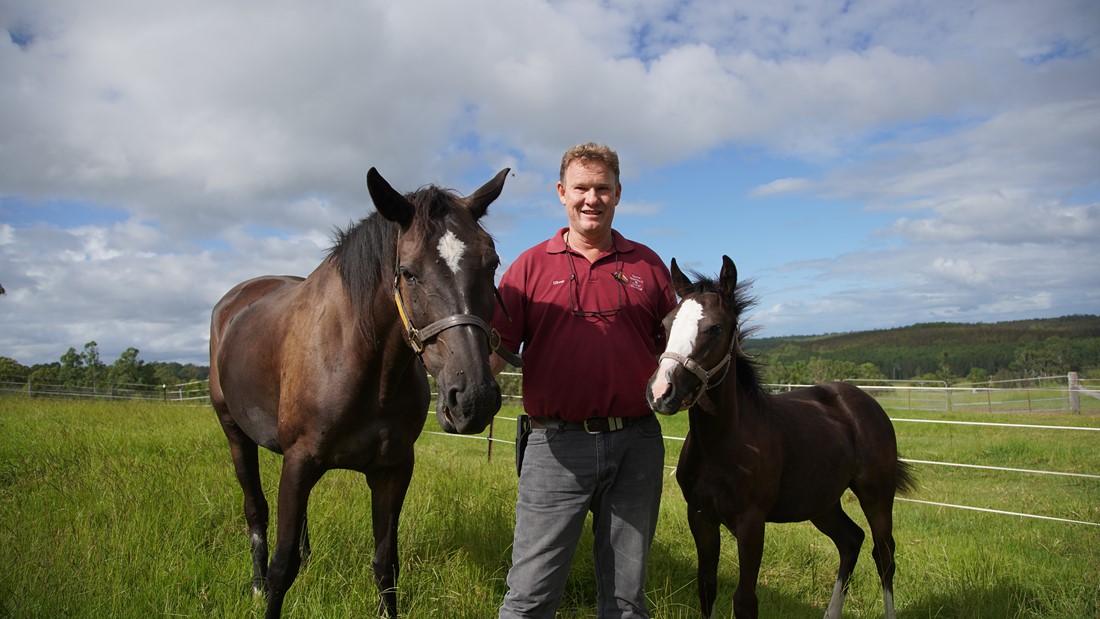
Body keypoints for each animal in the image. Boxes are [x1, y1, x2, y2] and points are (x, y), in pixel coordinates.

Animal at [207, 167, 512, 615]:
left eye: (492, 264)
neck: (364, 370)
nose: (473, 399)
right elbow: (283, 565)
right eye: (408, 271)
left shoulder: (392, 470)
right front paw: (271, 585)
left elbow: (385, 564)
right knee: (255, 510)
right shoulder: (299, 462)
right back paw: (257, 582)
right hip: (234, 433)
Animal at [646, 257, 915, 619]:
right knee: (851, 540)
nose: (661, 392)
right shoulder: (701, 517)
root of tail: (864, 402)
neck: (721, 443)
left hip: (877, 494)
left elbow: (745, 599)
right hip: (822, 502)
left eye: (715, 327)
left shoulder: (751, 523)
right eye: (666, 323)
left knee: (884, 554)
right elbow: (706, 587)